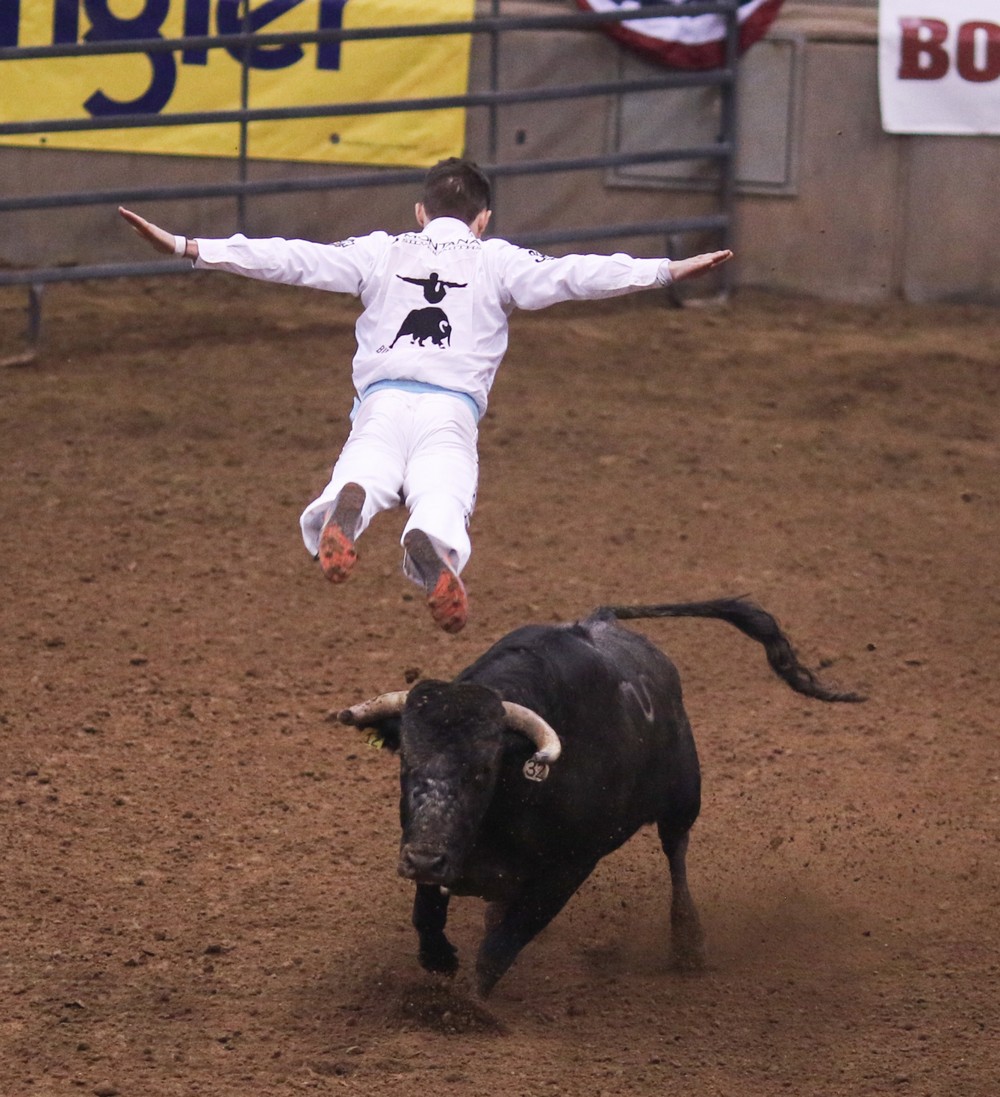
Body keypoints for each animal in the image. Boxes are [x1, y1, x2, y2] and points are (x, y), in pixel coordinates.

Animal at [339, 596, 864, 1000]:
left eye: (482, 770)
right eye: (406, 762)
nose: (422, 860)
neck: (518, 789)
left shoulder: (568, 868)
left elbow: (502, 945)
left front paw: (469, 1007)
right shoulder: (437, 847)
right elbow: (428, 914)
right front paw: (440, 960)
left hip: (683, 799)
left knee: (676, 854)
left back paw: (688, 943)